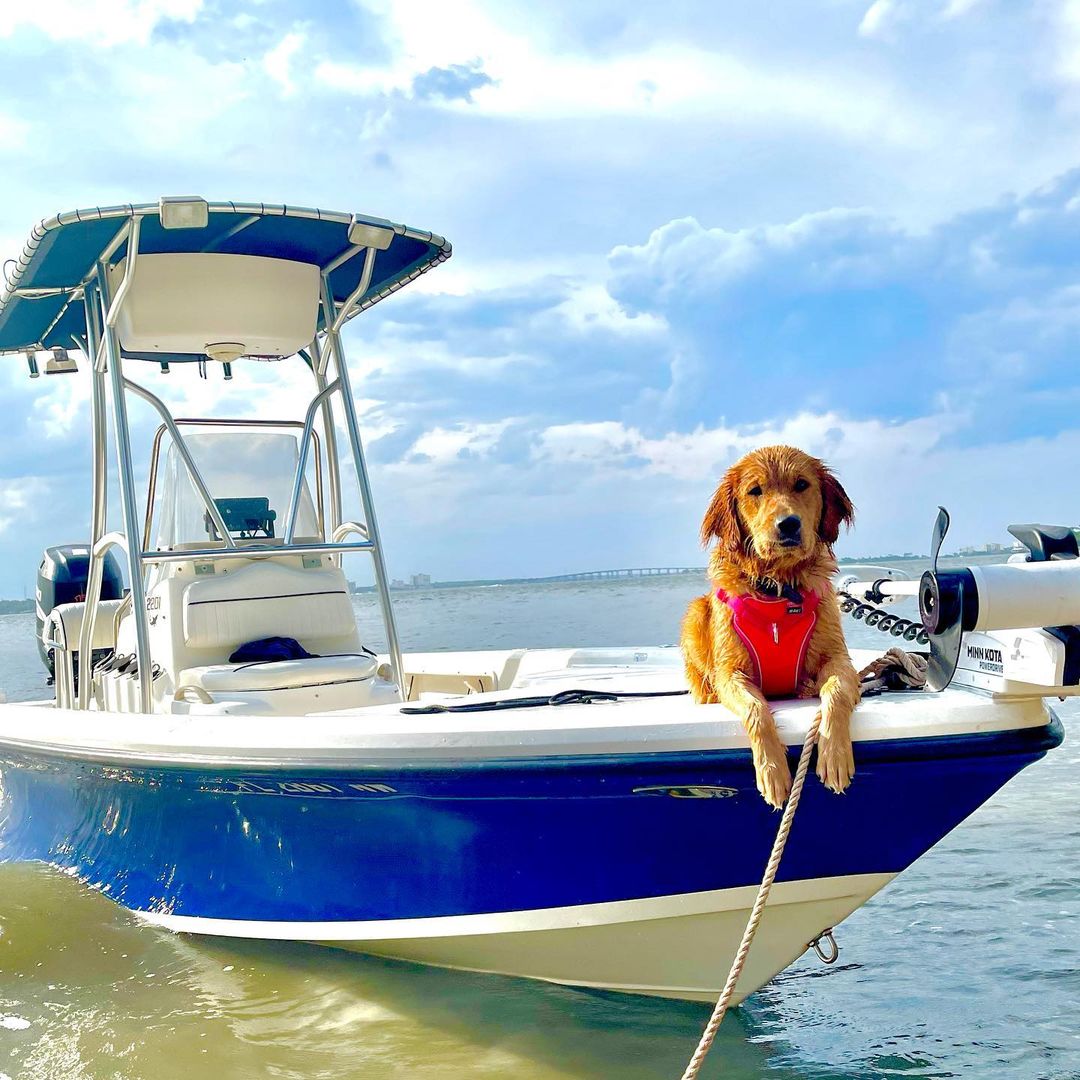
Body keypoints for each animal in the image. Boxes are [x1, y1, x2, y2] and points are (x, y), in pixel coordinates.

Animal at [682, 447, 859, 812]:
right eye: (755, 491)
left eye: (802, 484)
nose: (788, 523)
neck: (779, 590)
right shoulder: (730, 673)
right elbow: (756, 709)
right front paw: (772, 771)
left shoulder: (839, 659)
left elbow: (836, 691)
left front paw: (834, 756)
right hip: (694, 613)